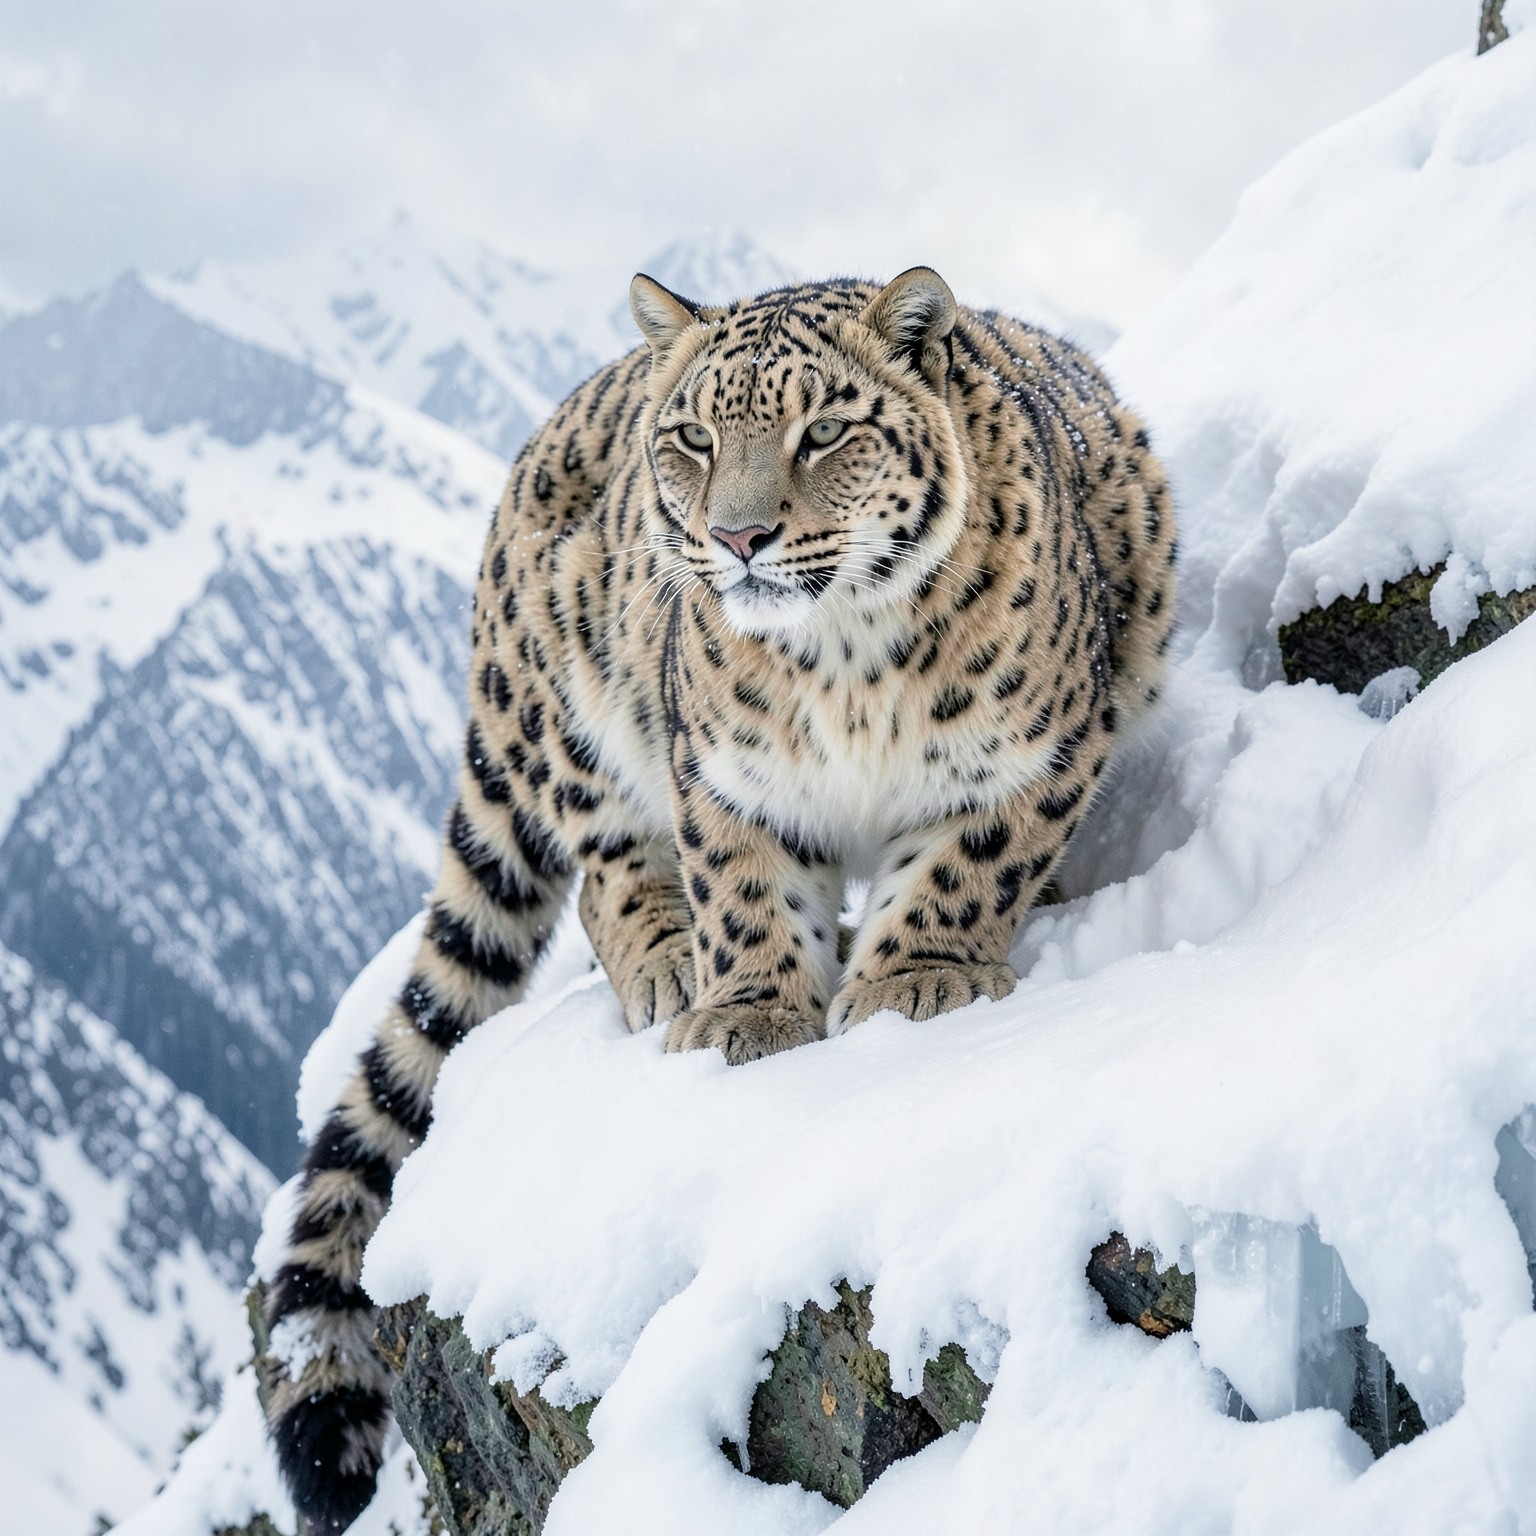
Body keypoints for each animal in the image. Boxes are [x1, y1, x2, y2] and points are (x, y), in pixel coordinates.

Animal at [264, 266, 1176, 1531]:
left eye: (825, 430)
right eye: (695, 437)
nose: (738, 536)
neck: (848, 671)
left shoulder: (1032, 757)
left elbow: (963, 870)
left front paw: (910, 983)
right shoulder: (722, 774)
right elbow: (740, 889)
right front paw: (748, 1015)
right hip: (577, 717)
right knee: (606, 872)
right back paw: (667, 966)